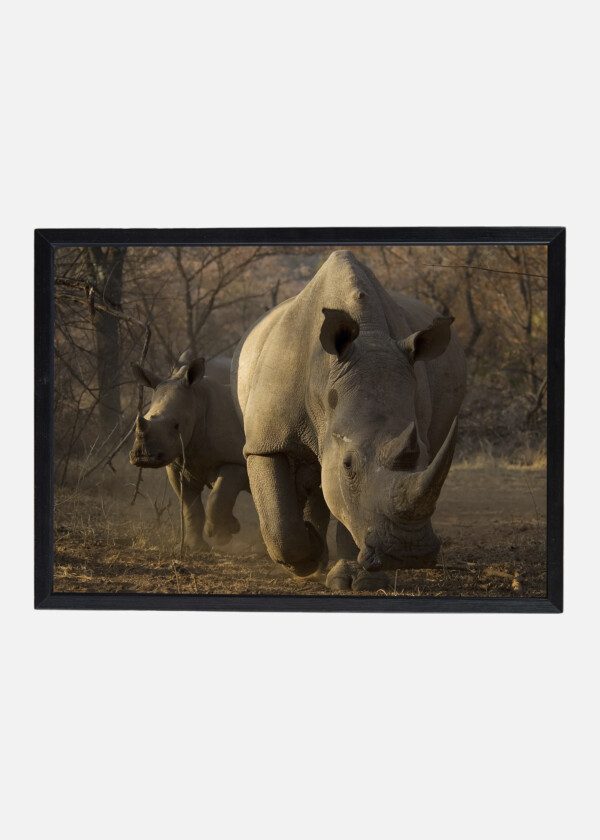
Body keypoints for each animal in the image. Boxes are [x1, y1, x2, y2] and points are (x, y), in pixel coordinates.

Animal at [129, 354, 249, 551]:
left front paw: (221, 536)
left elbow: (218, 496)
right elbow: (190, 506)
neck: (198, 402)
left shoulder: (237, 461)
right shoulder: (179, 464)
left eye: (176, 425)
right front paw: (195, 547)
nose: (143, 457)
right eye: (143, 418)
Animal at [232, 250, 466, 591]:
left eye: (424, 455)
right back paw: (314, 555)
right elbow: (279, 518)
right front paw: (306, 559)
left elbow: (351, 505)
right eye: (348, 464)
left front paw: (358, 581)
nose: (409, 553)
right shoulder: (265, 441)